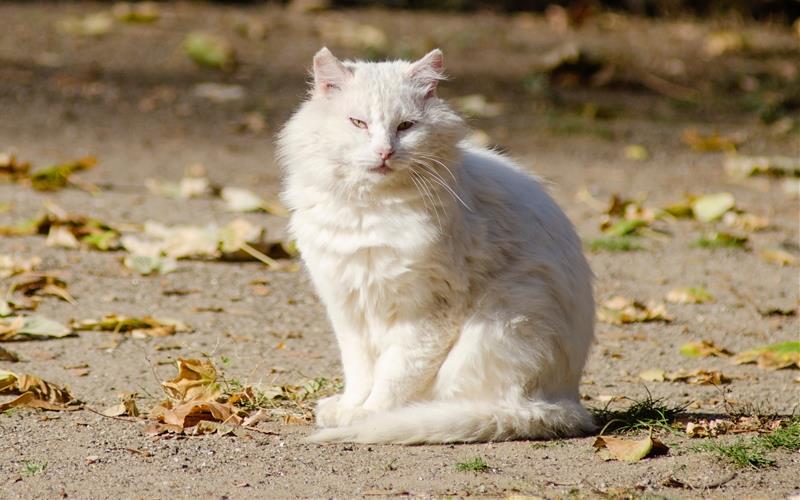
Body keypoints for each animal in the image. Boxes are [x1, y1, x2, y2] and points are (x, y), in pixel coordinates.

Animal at [276, 47, 592, 446]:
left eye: (405, 127)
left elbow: (393, 376)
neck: (370, 210)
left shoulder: (426, 311)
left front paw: (368, 415)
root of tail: (566, 402)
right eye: (358, 123)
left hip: (506, 318)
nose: (384, 152)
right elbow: (360, 371)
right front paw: (350, 407)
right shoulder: (348, 307)